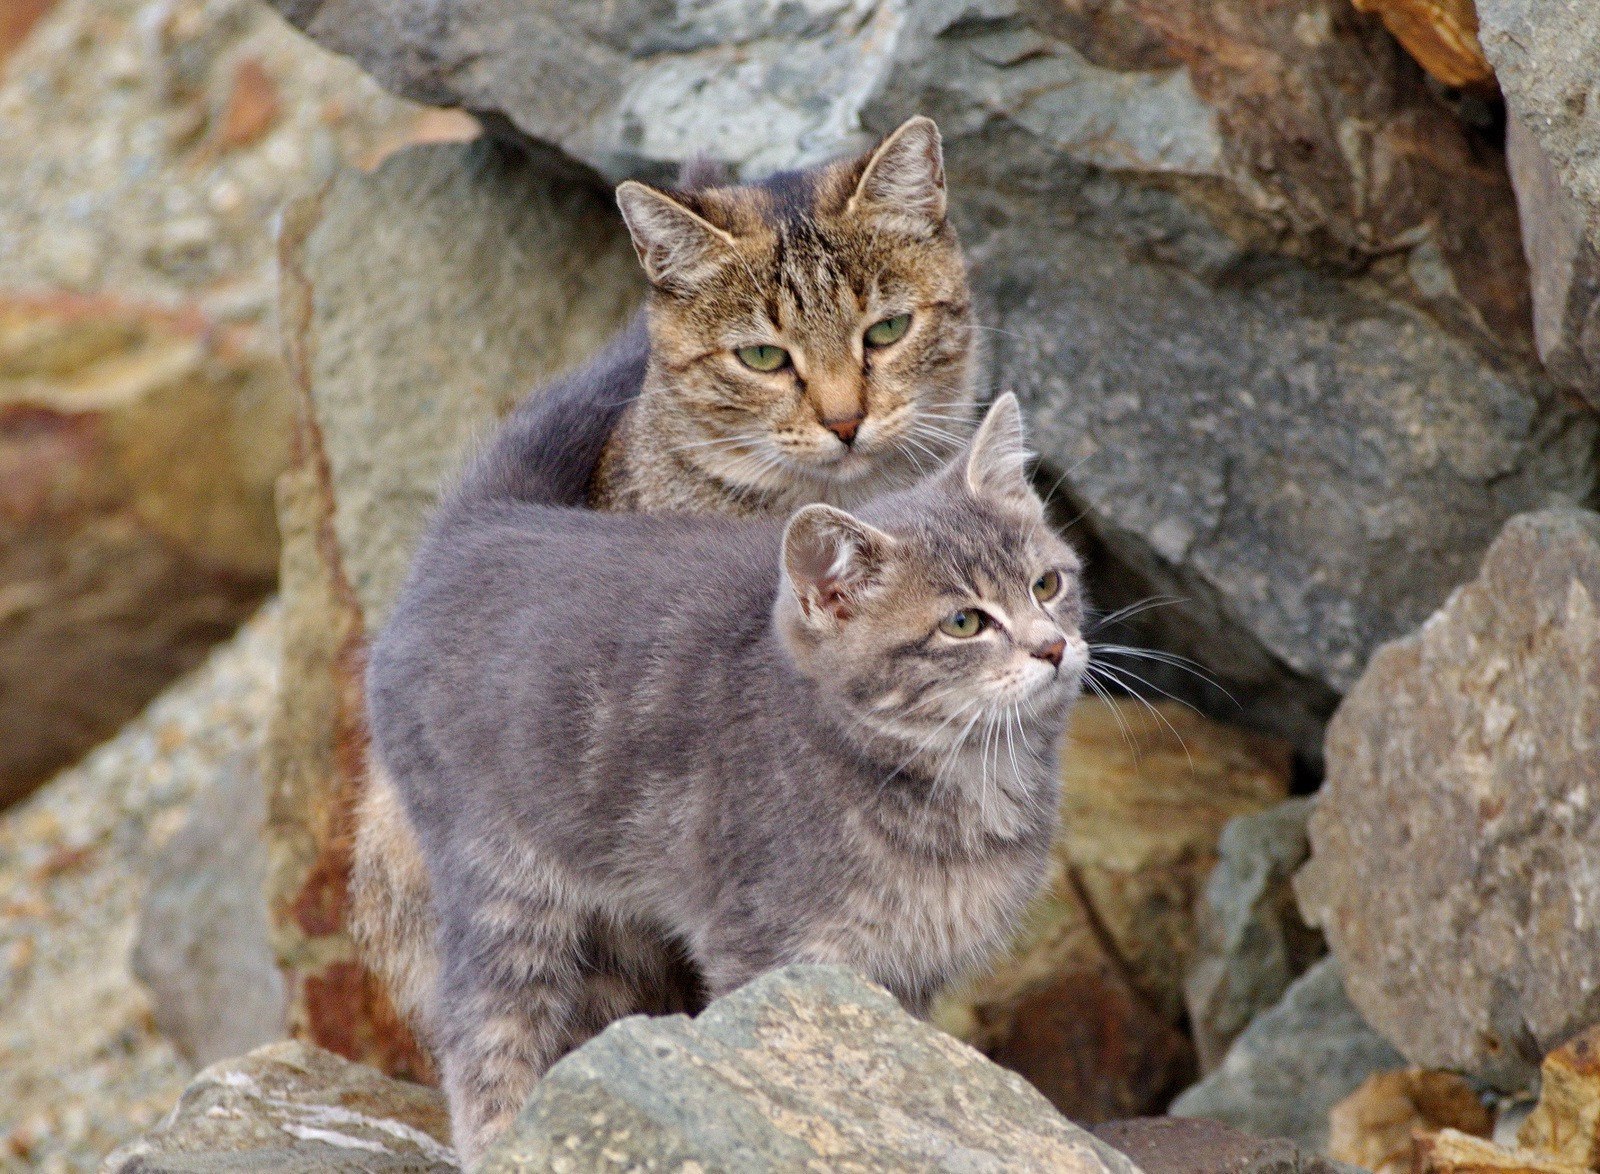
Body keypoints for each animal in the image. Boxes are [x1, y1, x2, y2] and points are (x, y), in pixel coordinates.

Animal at [366, 393, 1088, 1158]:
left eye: (1047, 584)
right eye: (963, 623)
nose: (1053, 647)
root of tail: (481, 523)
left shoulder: (906, 974)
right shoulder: (771, 951)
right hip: (501, 889)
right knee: (483, 1030)